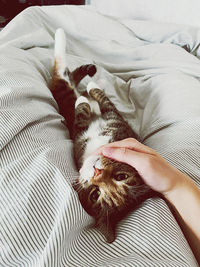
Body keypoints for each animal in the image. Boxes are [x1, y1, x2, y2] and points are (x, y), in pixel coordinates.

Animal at [50, 28, 158, 244]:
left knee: (60, 70)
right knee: (68, 75)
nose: (97, 172)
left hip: (62, 91)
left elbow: (92, 107)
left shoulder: (100, 123)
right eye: (121, 176)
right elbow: (101, 100)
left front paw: (87, 95)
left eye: (95, 194)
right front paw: (91, 90)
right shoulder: (112, 124)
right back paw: (88, 69)